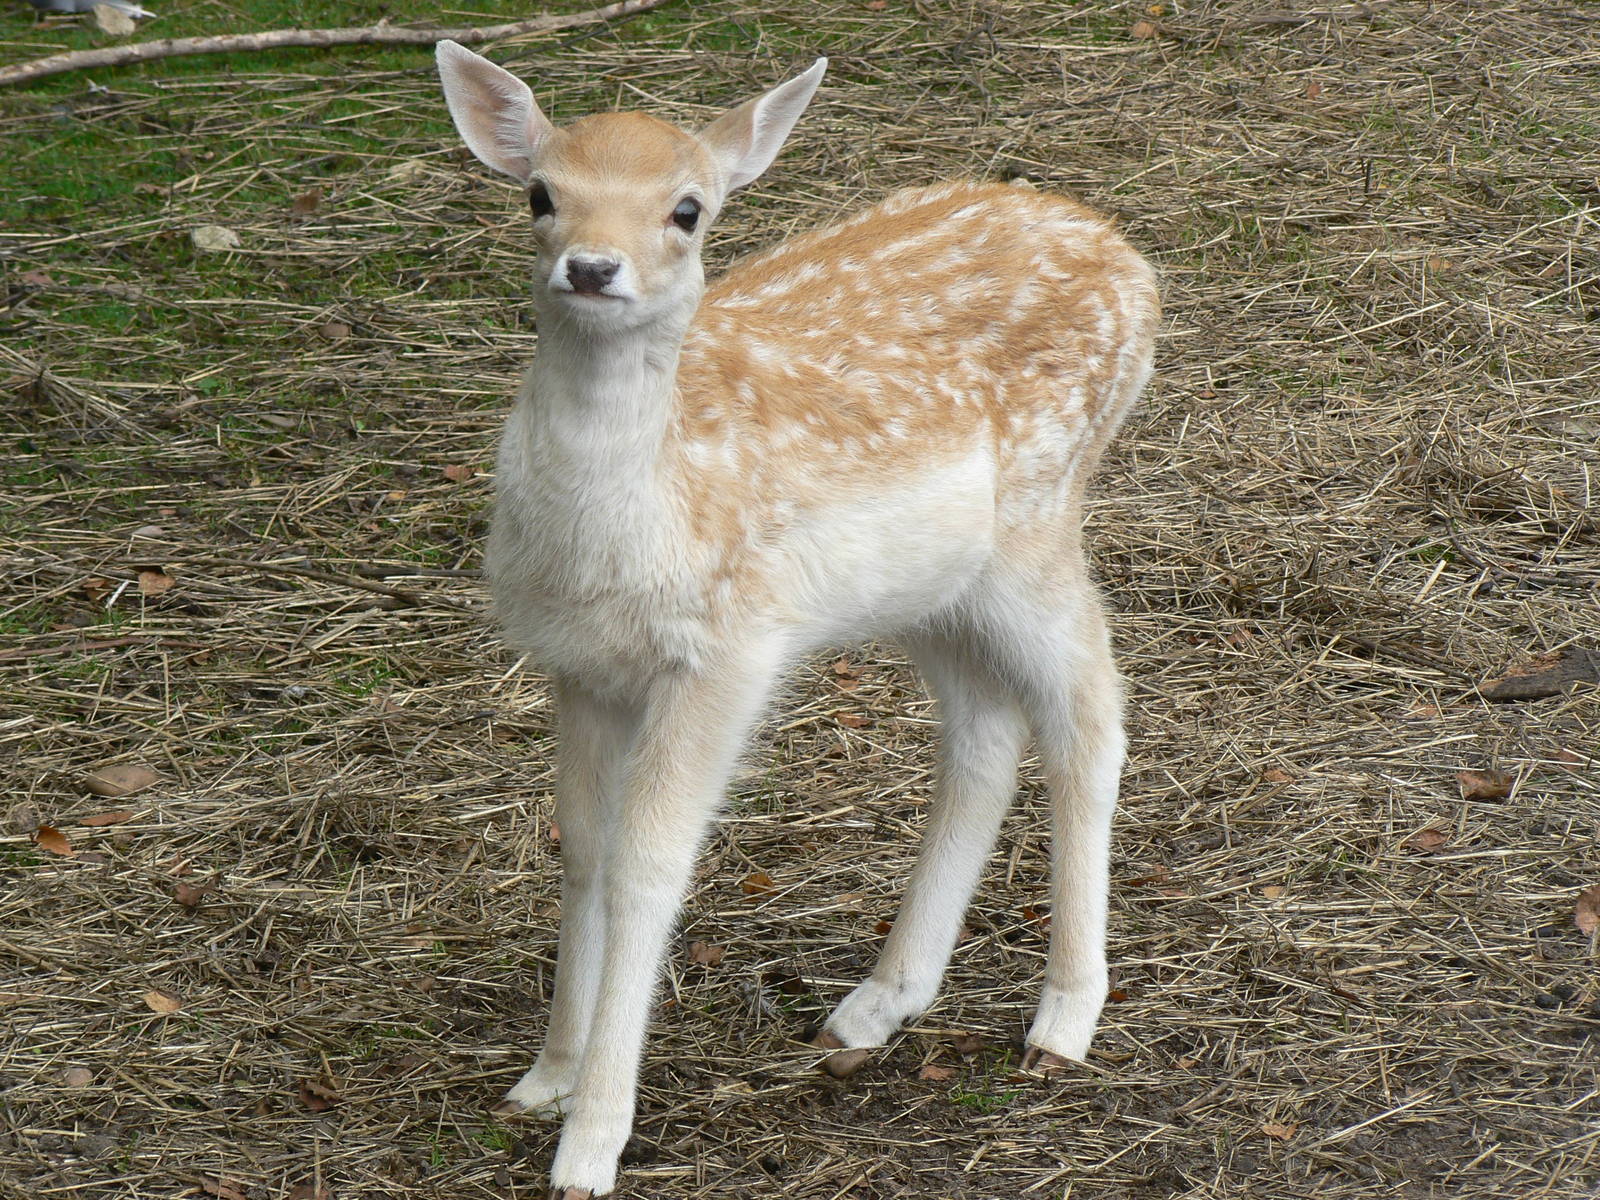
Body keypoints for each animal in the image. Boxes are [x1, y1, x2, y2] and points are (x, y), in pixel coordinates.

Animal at [435, 40, 1160, 1198]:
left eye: (687, 210)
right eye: (541, 193)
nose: (592, 268)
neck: (635, 528)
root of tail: (1134, 263)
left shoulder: (726, 651)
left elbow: (649, 867)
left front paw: (591, 1143)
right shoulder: (578, 665)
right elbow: (583, 851)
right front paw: (543, 1078)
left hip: (1039, 524)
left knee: (1090, 708)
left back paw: (1064, 1021)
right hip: (932, 588)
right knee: (986, 730)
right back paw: (874, 1007)